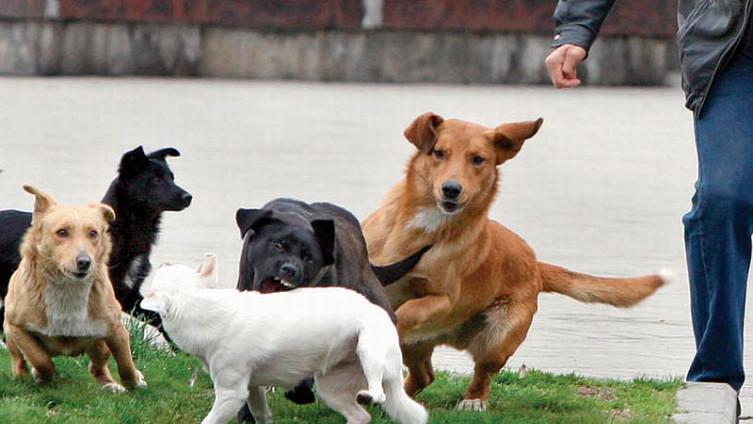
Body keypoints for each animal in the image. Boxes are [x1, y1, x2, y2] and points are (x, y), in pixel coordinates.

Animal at [3, 185, 146, 390]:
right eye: (62, 232)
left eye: (93, 233)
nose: (84, 262)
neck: (68, 287)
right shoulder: (17, 327)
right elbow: (40, 359)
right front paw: (41, 375)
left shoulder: (116, 329)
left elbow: (125, 362)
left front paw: (135, 381)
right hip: (10, 336)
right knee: (19, 360)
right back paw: (22, 375)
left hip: (99, 344)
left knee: (98, 365)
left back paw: (110, 385)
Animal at [138, 255, 426, 424]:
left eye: (160, 276)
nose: (162, 263)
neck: (205, 308)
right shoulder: (252, 388)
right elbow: (261, 414)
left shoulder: (231, 394)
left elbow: (210, 421)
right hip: (331, 388)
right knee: (361, 416)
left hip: (369, 351)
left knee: (377, 393)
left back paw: (372, 392)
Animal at [362, 113, 668, 410]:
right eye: (439, 153)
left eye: (478, 159)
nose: (451, 189)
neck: (424, 231)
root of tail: (535, 265)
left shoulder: (444, 298)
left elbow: (409, 309)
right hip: (417, 346)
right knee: (423, 375)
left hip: (498, 336)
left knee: (480, 372)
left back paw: (472, 401)